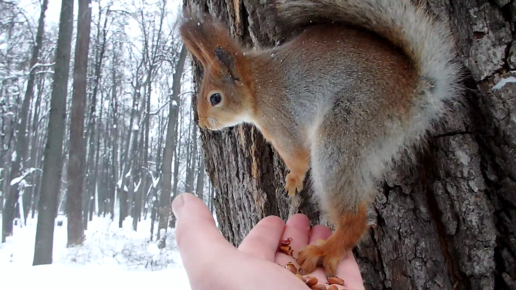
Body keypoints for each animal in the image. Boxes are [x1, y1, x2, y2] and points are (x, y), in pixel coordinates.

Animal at [179, 0, 462, 276]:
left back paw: (325, 250)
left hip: (346, 129)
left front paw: (294, 179)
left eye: (215, 98)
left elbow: (298, 156)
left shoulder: (281, 121)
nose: (202, 123)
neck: (256, 87)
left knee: (354, 217)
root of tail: (415, 91)